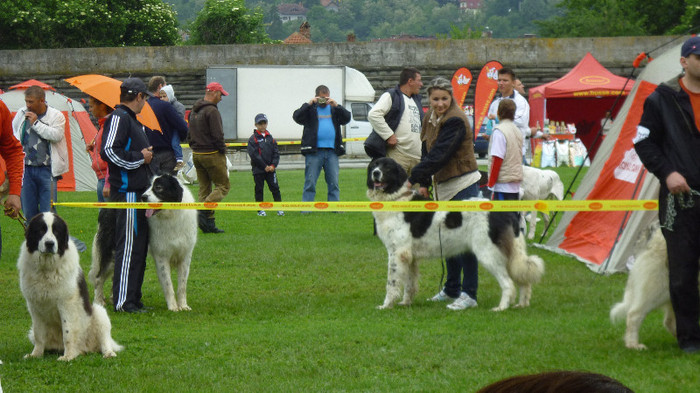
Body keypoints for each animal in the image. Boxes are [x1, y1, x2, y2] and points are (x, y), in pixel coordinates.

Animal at [17, 213, 122, 360]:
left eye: (56, 231)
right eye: (41, 230)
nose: (49, 243)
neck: (47, 268)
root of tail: (86, 348)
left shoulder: (66, 303)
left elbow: (68, 331)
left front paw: (68, 357)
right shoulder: (34, 306)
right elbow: (39, 334)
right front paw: (35, 354)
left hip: (99, 312)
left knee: (104, 340)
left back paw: (108, 353)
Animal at [89, 173, 197, 310]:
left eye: (158, 188)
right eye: (148, 187)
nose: (143, 197)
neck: (171, 215)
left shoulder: (185, 255)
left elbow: (182, 285)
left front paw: (183, 306)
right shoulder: (161, 256)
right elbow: (168, 284)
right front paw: (173, 307)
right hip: (110, 253)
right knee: (99, 277)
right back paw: (99, 301)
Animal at [370, 158, 544, 310]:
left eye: (387, 167)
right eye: (374, 165)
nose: (375, 173)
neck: (395, 196)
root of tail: (505, 212)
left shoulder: (397, 253)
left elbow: (391, 283)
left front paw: (386, 305)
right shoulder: (409, 257)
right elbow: (410, 283)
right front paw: (406, 303)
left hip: (488, 253)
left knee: (508, 283)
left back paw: (501, 307)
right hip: (510, 253)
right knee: (523, 279)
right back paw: (522, 304)